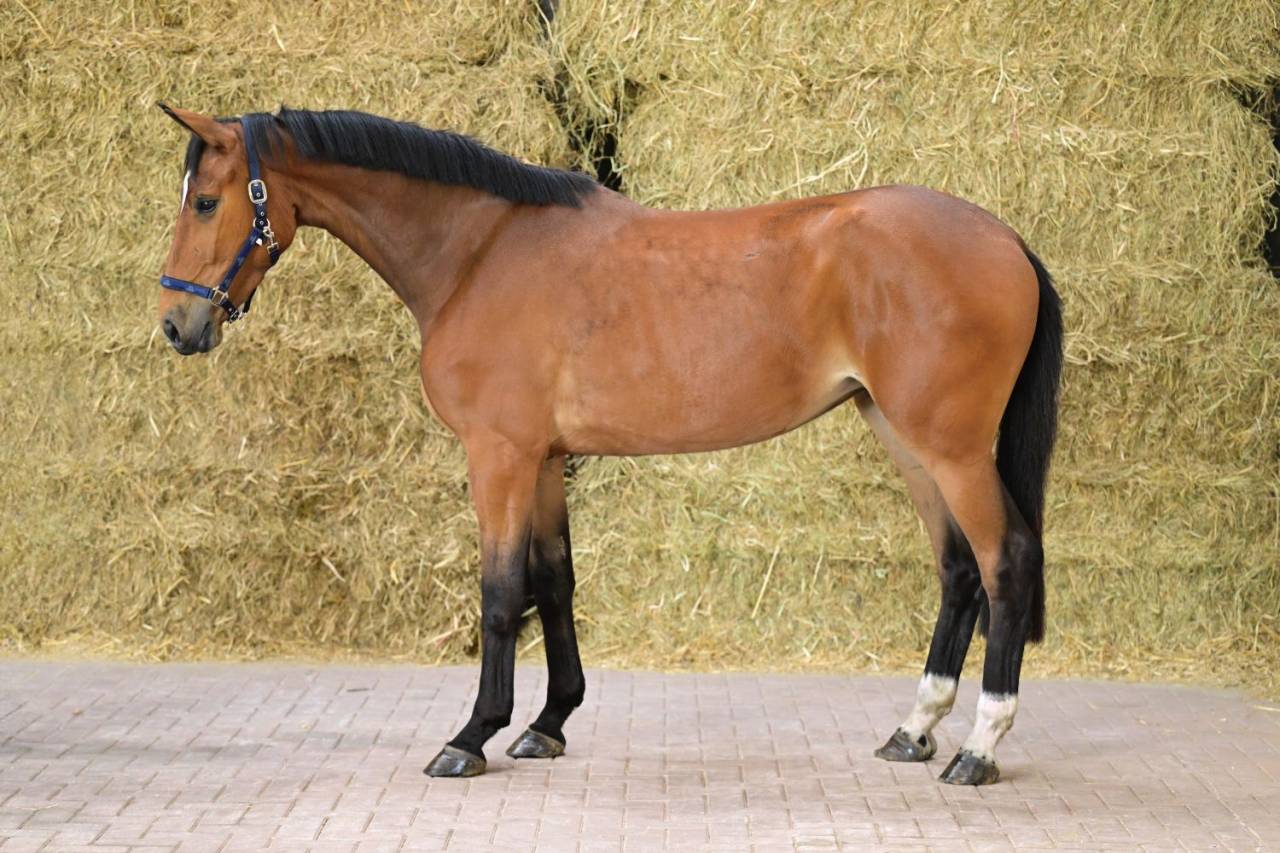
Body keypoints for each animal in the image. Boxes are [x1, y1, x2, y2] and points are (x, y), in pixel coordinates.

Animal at [155, 104, 1062, 786]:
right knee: (957, 569)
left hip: (950, 448)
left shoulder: (499, 455)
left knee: (1004, 560)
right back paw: (914, 730)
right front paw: (548, 723)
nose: (176, 324)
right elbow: (555, 581)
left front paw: (471, 735)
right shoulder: (547, 458)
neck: (480, 251)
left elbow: (500, 591)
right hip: (903, 436)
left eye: (205, 201)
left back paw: (980, 746)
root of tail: (1006, 239)